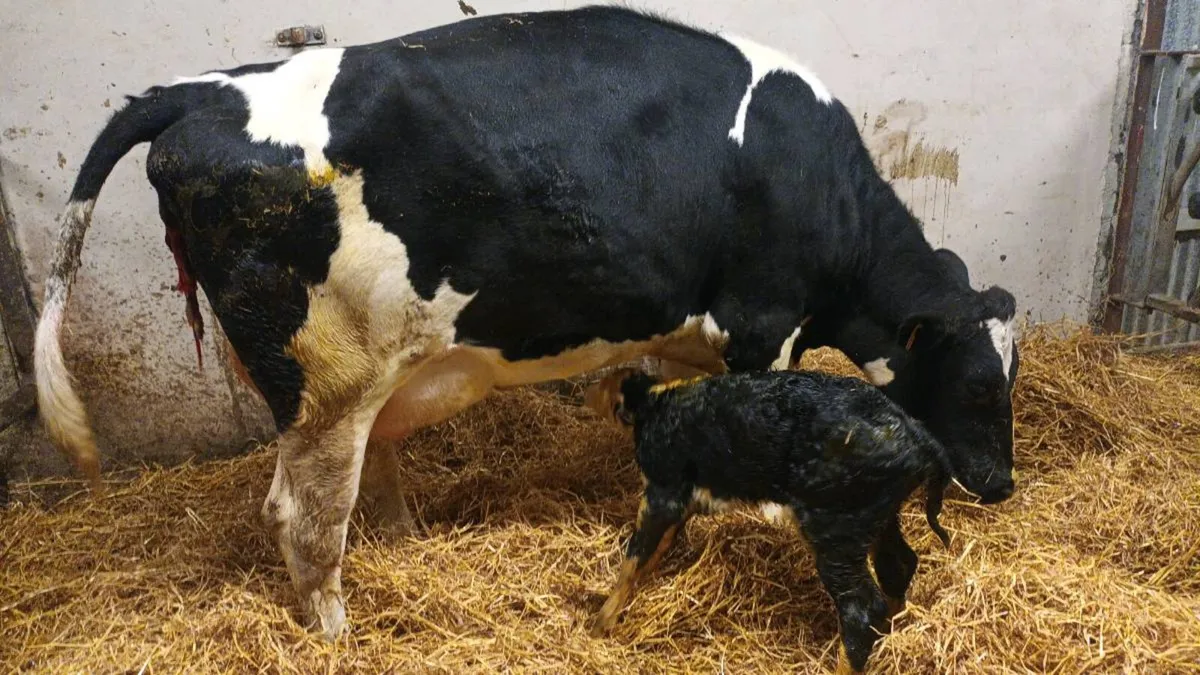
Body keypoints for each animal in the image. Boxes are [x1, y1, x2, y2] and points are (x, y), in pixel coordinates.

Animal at [33, 6, 1018, 639]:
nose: (1001, 484)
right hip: (328, 376)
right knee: (304, 517)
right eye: (977, 383)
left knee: (359, 478)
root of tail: (195, 91)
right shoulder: (762, 323)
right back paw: (339, 635)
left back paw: (406, 541)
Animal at [582, 367, 952, 675]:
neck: (655, 404)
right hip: (878, 515)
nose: (588, 390)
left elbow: (634, 556)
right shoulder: (684, 499)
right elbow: (657, 549)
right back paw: (892, 628)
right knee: (900, 564)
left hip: (836, 525)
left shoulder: (662, 491)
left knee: (862, 607)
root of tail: (921, 440)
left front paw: (598, 626)